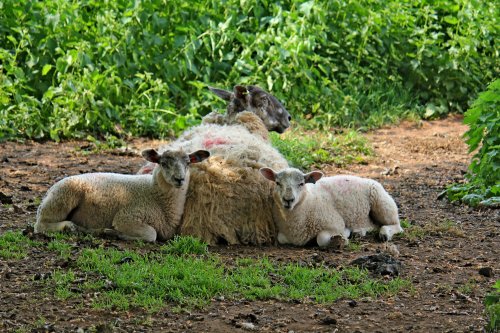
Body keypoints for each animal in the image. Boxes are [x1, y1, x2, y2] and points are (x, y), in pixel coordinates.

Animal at [33, 148, 209, 241]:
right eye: (163, 163)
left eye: (188, 163)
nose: (180, 179)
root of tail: (49, 191)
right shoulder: (127, 216)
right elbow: (151, 235)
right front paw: (113, 232)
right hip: (62, 198)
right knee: (41, 225)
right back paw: (69, 227)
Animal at [260, 166, 404, 246]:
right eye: (277, 183)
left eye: (301, 184)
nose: (288, 200)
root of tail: (367, 179)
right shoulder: (285, 234)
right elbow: (281, 238)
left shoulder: (335, 223)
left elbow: (321, 239)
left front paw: (341, 238)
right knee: (372, 225)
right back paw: (359, 231)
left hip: (382, 203)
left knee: (396, 225)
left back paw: (385, 233)